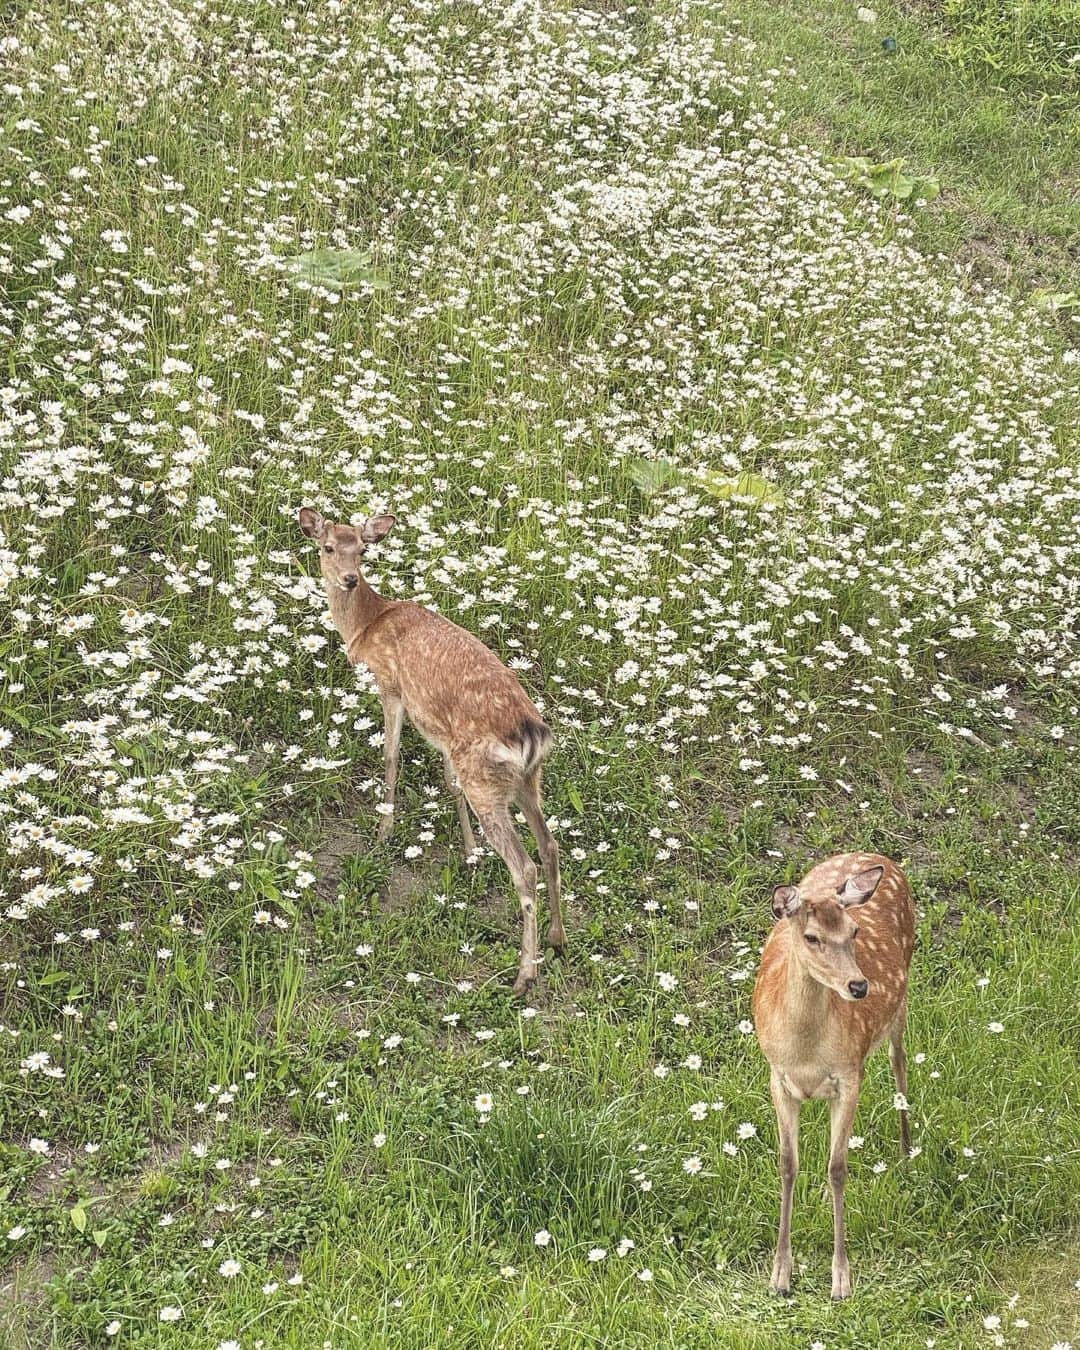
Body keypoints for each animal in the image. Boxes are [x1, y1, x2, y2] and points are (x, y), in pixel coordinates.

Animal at [298, 506, 564, 996]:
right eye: (328, 547)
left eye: (361, 550)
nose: (348, 578)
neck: (368, 624)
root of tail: (532, 733)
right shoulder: (441, 731)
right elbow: (447, 781)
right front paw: (469, 852)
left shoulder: (391, 685)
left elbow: (391, 757)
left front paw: (383, 832)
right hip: (526, 780)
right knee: (551, 845)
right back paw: (558, 939)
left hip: (487, 781)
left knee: (526, 868)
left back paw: (524, 975)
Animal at [752, 852, 915, 1300]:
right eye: (811, 937)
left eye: (854, 931)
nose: (858, 986)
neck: (806, 1050)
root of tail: (880, 857)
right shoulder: (777, 1076)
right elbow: (788, 1164)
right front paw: (780, 1274)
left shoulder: (849, 1074)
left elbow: (839, 1167)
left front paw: (841, 1278)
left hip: (902, 999)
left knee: (899, 1061)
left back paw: (907, 1150)